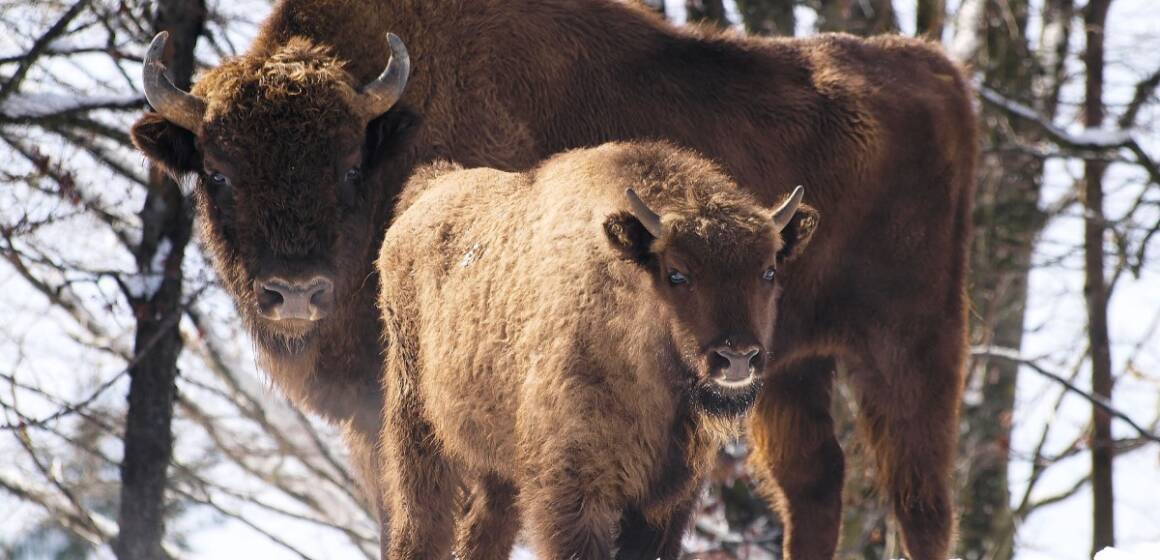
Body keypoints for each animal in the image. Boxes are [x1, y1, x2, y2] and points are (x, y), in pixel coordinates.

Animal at [375, 142, 821, 558]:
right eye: (676, 273)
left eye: (769, 271)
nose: (737, 357)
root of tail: (428, 191)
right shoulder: (573, 492)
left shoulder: (667, 501)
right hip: (417, 428)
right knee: (422, 525)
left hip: (496, 461)